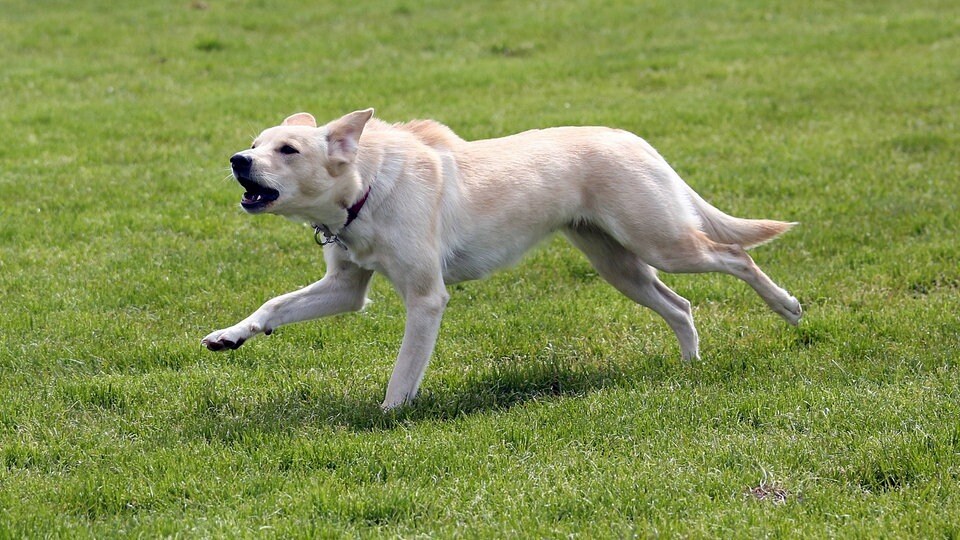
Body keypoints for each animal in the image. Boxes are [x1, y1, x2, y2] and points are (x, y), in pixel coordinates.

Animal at [202, 107, 804, 408]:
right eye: (255, 143)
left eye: (288, 150)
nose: (236, 160)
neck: (368, 186)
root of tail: (635, 139)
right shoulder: (346, 289)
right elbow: (274, 305)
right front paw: (230, 335)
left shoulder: (426, 298)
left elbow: (403, 371)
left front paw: (389, 419)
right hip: (620, 265)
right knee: (681, 306)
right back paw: (689, 367)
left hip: (662, 242)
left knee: (735, 255)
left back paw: (787, 307)